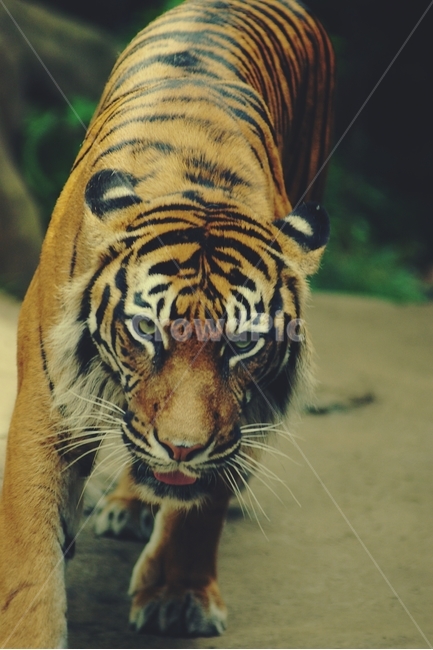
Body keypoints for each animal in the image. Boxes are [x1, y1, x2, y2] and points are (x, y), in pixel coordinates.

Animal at [0, 0, 334, 645]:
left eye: (243, 343)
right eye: (146, 331)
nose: (181, 448)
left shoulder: (237, 421)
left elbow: (204, 500)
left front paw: (178, 597)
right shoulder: (47, 407)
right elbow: (30, 559)